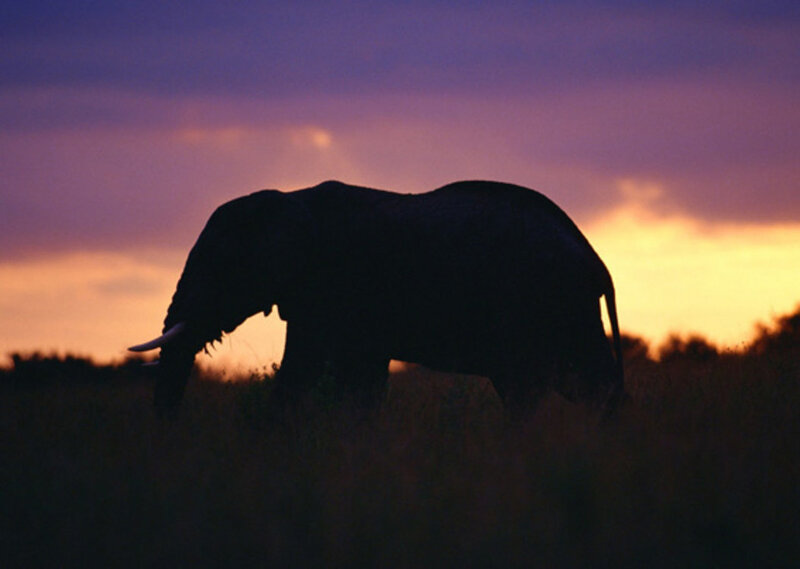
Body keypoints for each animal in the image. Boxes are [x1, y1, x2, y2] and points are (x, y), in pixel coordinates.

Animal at [129, 180, 625, 420]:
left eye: (219, 266)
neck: (289, 199)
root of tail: (596, 258)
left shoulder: (338, 285)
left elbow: (314, 375)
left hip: (544, 303)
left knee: (539, 386)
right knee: (585, 383)